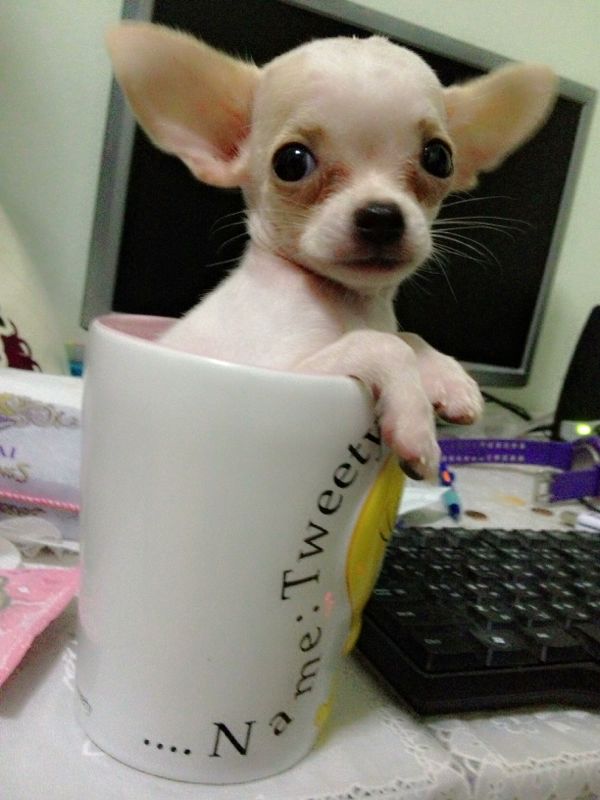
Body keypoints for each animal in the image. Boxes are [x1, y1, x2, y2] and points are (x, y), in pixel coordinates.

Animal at [106, 25, 556, 479]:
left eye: (439, 158)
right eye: (291, 163)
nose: (381, 216)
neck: (351, 305)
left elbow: (405, 336)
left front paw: (450, 377)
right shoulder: (284, 372)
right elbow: (383, 345)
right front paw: (416, 425)